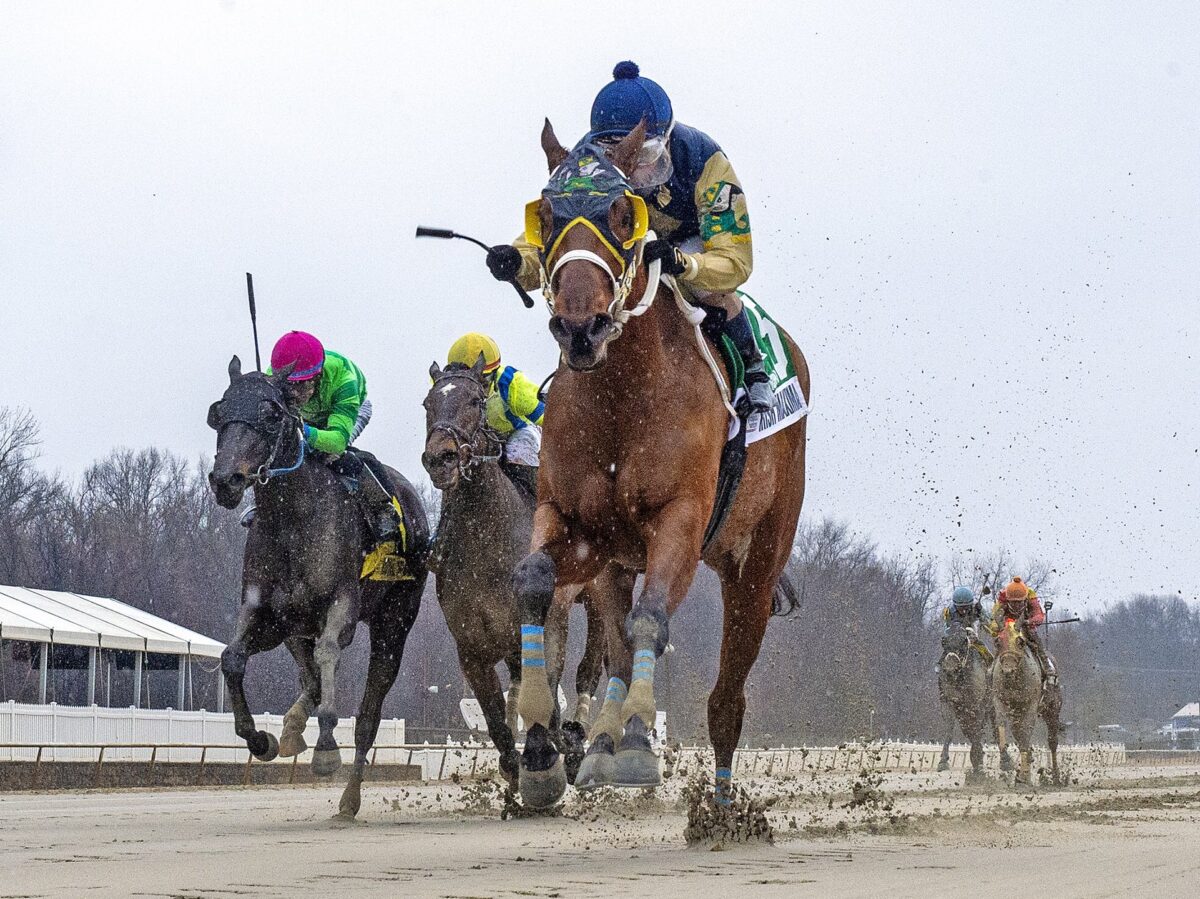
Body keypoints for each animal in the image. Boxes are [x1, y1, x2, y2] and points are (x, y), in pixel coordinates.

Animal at [208, 355, 429, 811]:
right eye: (217, 412)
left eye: (271, 414)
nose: (226, 480)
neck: (292, 519)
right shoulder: (268, 615)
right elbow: (232, 657)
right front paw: (260, 739)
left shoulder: (341, 605)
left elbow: (330, 654)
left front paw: (327, 748)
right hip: (297, 627)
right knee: (308, 679)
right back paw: (293, 730)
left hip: (395, 621)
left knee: (368, 715)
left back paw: (349, 799)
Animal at [506, 121, 806, 806]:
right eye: (548, 213)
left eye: (623, 214)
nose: (581, 328)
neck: (623, 396)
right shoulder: (575, 523)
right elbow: (535, 583)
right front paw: (541, 749)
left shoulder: (681, 519)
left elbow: (650, 620)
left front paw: (641, 745)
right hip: (617, 561)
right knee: (616, 646)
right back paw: (602, 747)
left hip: (755, 561)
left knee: (727, 695)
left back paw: (717, 802)